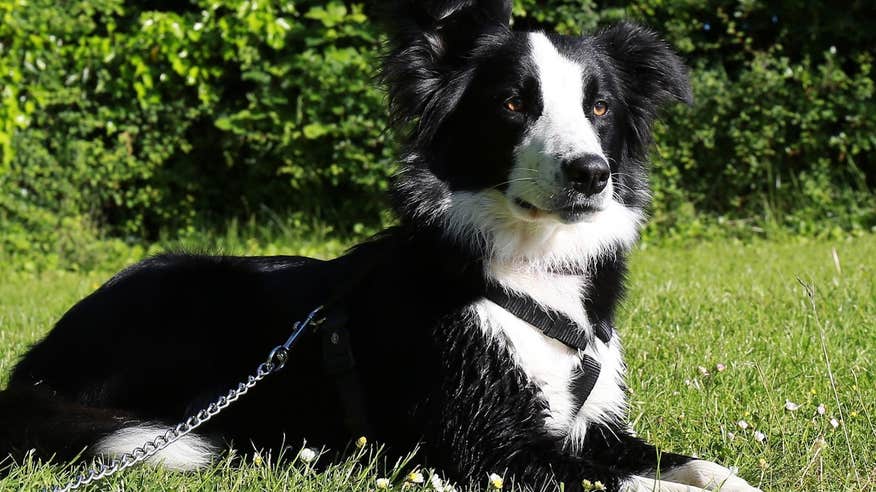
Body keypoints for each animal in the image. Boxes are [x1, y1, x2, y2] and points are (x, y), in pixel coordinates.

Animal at [0, 1, 760, 490]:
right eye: (513, 104)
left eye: (599, 108)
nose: (591, 174)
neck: (531, 265)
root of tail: (34, 366)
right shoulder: (487, 448)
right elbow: (638, 484)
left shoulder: (593, 426)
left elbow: (701, 469)